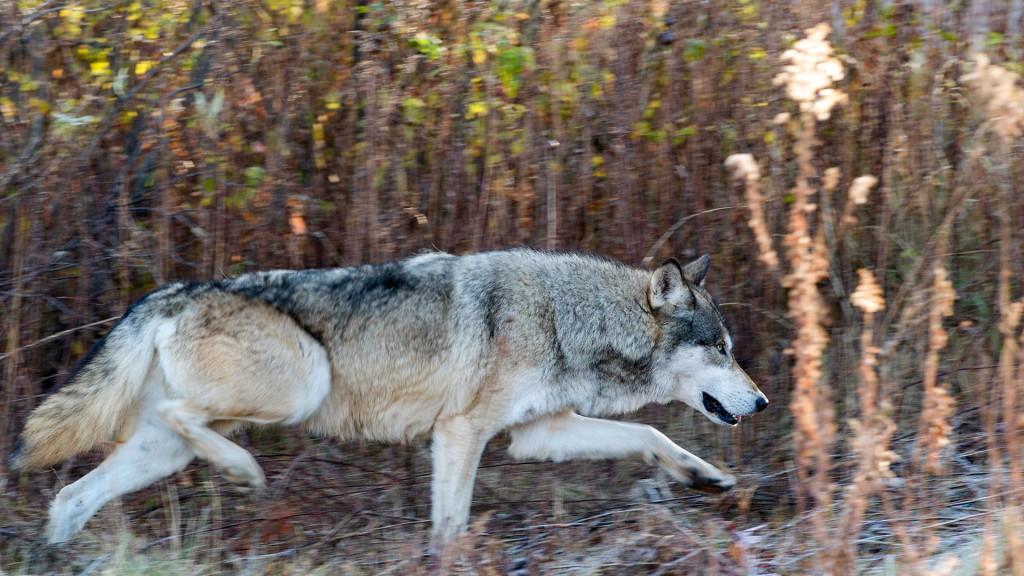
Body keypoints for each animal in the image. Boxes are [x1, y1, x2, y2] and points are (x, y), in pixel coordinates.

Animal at [12, 248, 770, 541]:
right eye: (723, 350)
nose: (762, 403)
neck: (564, 315)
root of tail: (170, 292)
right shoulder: (460, 433)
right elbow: (451, 526)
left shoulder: (538, 435)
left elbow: (651, 435)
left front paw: (704, 477)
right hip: (299, 385)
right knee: (186, 423)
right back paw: (242, 469)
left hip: (158, 453)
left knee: (70, 496)